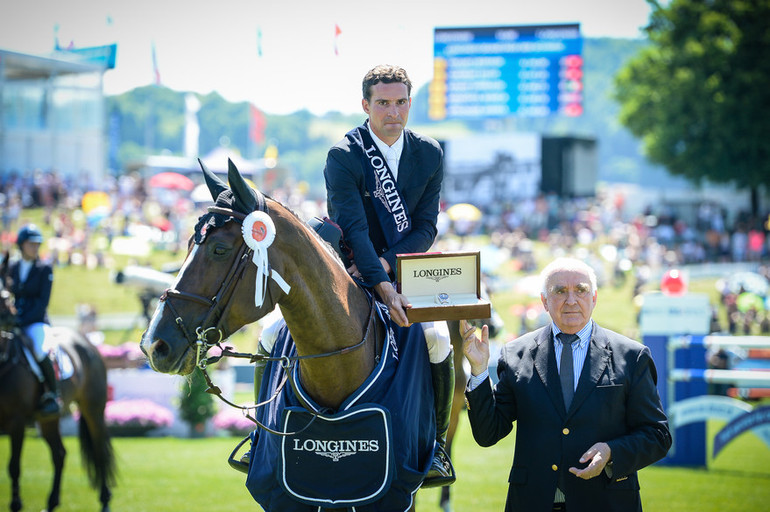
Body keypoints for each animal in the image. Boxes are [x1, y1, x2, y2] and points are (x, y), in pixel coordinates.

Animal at [0, 254, 115, 510]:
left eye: (8, 285)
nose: (11, 318)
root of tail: (87, 342)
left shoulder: (16, 420)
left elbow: (14, 466)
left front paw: (16, 504)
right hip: (48, 418)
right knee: (59, 454)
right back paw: (52, 502)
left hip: (93, 409)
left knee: (99, 451)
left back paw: (104, 501)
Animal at [141, 161, 472, 512]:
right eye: (189, 245)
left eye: (220, 250)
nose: (153, 345)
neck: (336, 370)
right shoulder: (287, 494)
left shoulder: (393, 493)